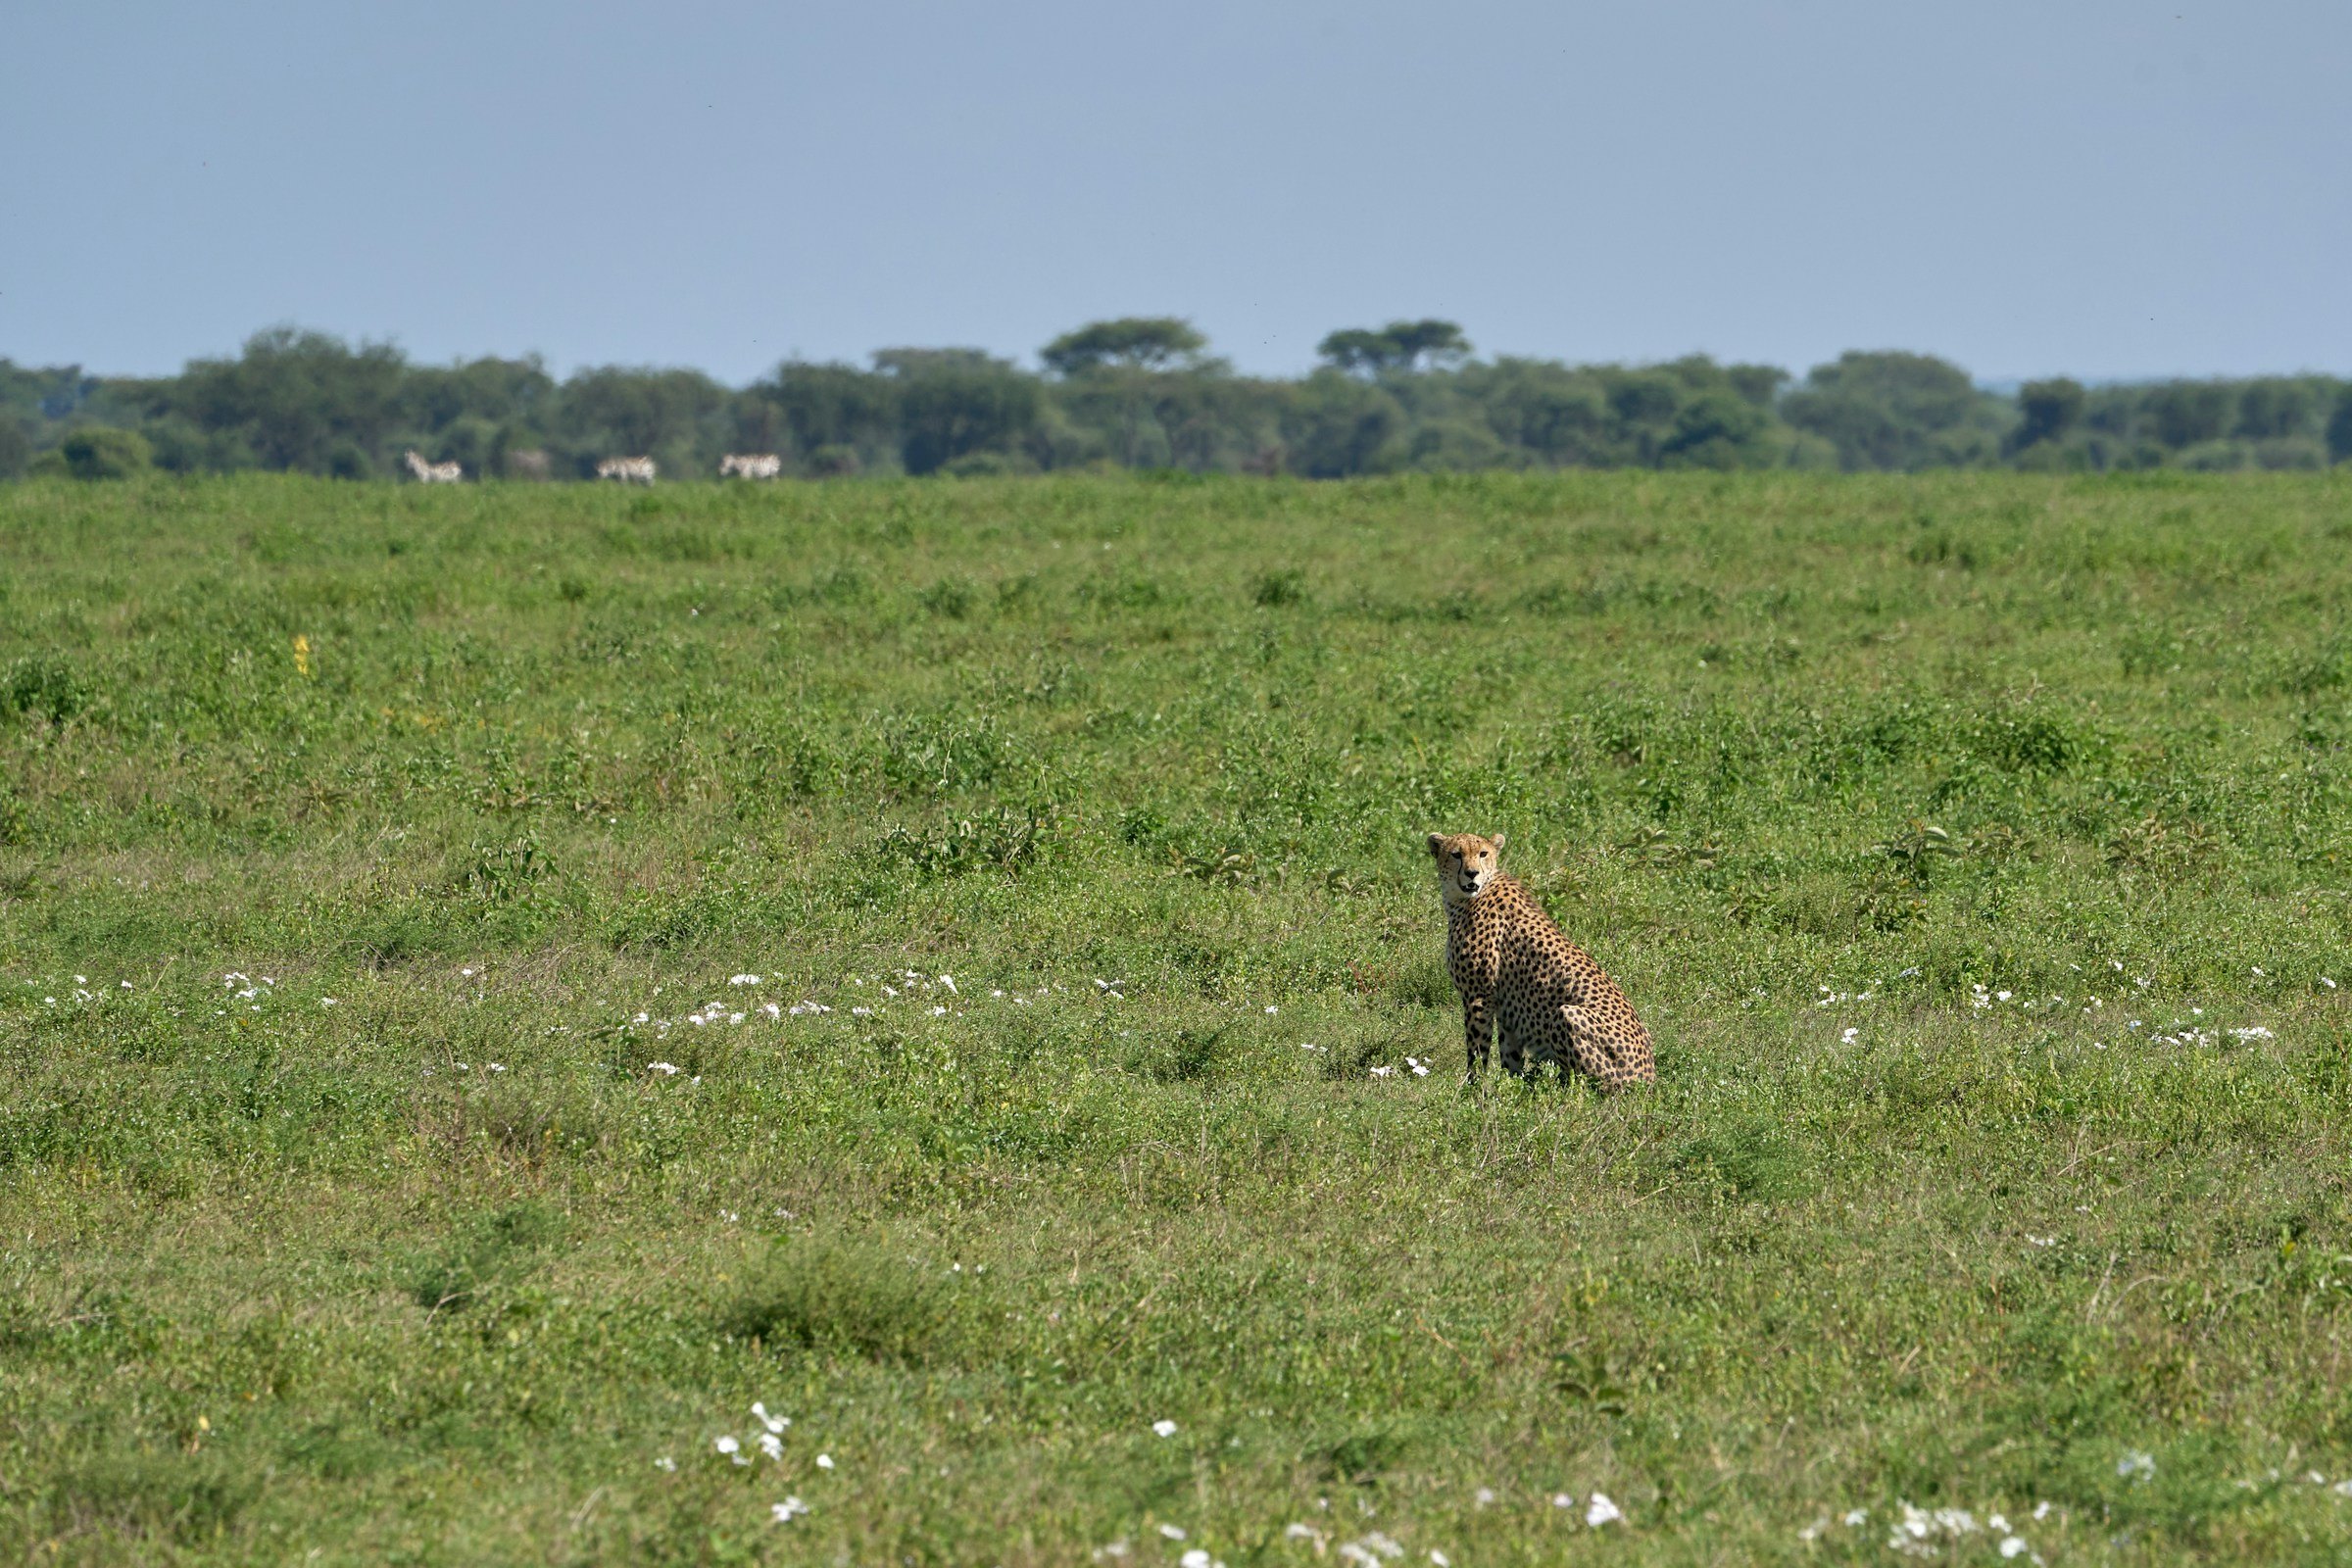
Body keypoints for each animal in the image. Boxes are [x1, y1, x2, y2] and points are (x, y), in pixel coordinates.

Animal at [1426, 831, 1655, 1090]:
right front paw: (1510, 1088)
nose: (1472, 873)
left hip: (1567, 1015)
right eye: (1456, 854)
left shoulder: (1479, 996)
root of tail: (1648, 1081)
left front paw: (1473, 1089)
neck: (1466, 897)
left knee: (1583, 1085)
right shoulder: (1506, 1009)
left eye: (1482, 854)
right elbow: (1509, 1055)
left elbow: (1477, 1051)